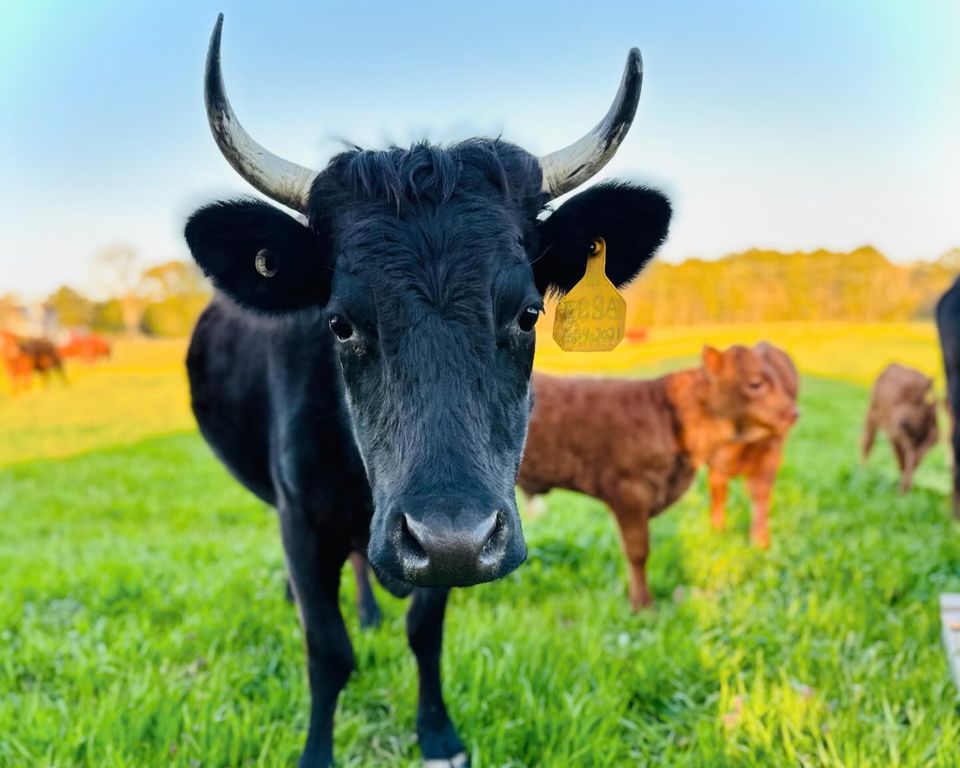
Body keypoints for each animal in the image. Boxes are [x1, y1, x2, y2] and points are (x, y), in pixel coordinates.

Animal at [183, 16, 672, 767]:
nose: (448, 535)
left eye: (528, 313)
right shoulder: (300, 519)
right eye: (339, 321)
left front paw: (437, 734)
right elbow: (326, 650)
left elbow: (425, 631)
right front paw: (316, 750)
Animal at [706, 342, 799, 549]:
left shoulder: (771, 455)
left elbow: (760, 494)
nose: (795, 413)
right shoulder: (713, 462)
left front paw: (760, 541)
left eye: (777, 382)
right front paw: (717, 529)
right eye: (755, 383)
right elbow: (718, 491)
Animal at [862, 363, 939, 494]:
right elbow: (903, 461)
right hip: (871, 418)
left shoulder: (931, 437)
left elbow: (915, 459)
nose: (904, 422)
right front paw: (902, 489)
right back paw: (863, 470)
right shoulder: (896, 436)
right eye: (895, 402)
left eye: (918, 401)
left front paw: (907, 487)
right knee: (867, 444)